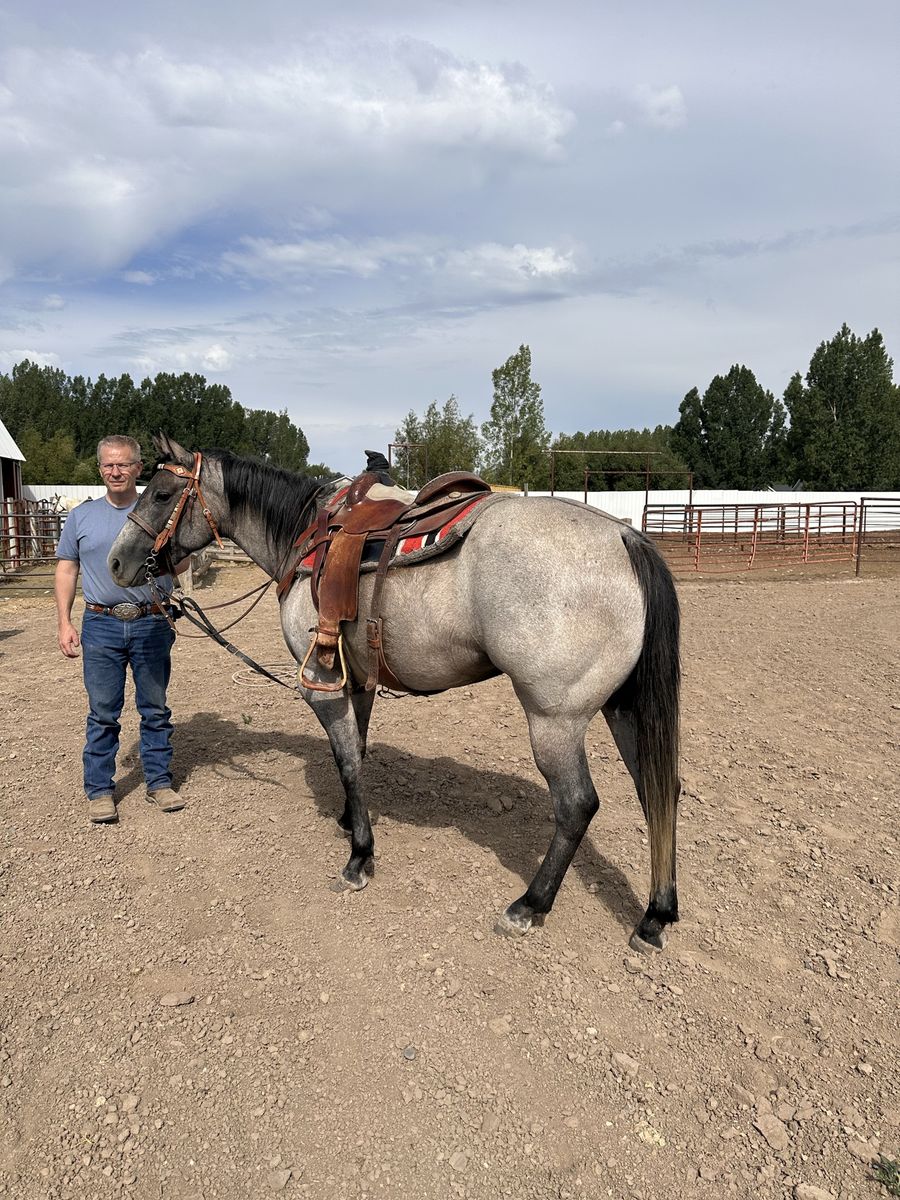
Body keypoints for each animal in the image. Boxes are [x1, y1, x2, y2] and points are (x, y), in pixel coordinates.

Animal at [108, 435, 681, 952]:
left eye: (161, 493)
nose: (116, 563)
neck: (306, 534)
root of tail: (625, 539)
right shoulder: (356, 681)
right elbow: (356, 753)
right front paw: (349, 820)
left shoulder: (323, 685)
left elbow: (346, 760)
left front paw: (360, 856)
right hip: (622, 710)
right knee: (660, 792)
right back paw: (655, 916)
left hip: (554, 720)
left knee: (577, 805)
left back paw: (529, 905)